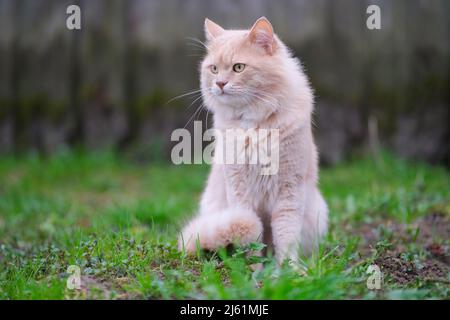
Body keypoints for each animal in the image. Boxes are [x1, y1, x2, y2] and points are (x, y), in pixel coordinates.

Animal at [178, 16, 328, 264]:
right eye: (214, 69)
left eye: (238, 67)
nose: (219, 84)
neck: (254, 125)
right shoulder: (239, 190)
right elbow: (251, 234)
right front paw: (252, 269)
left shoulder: (289, 191)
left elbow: (286, 237)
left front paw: (289, 269)